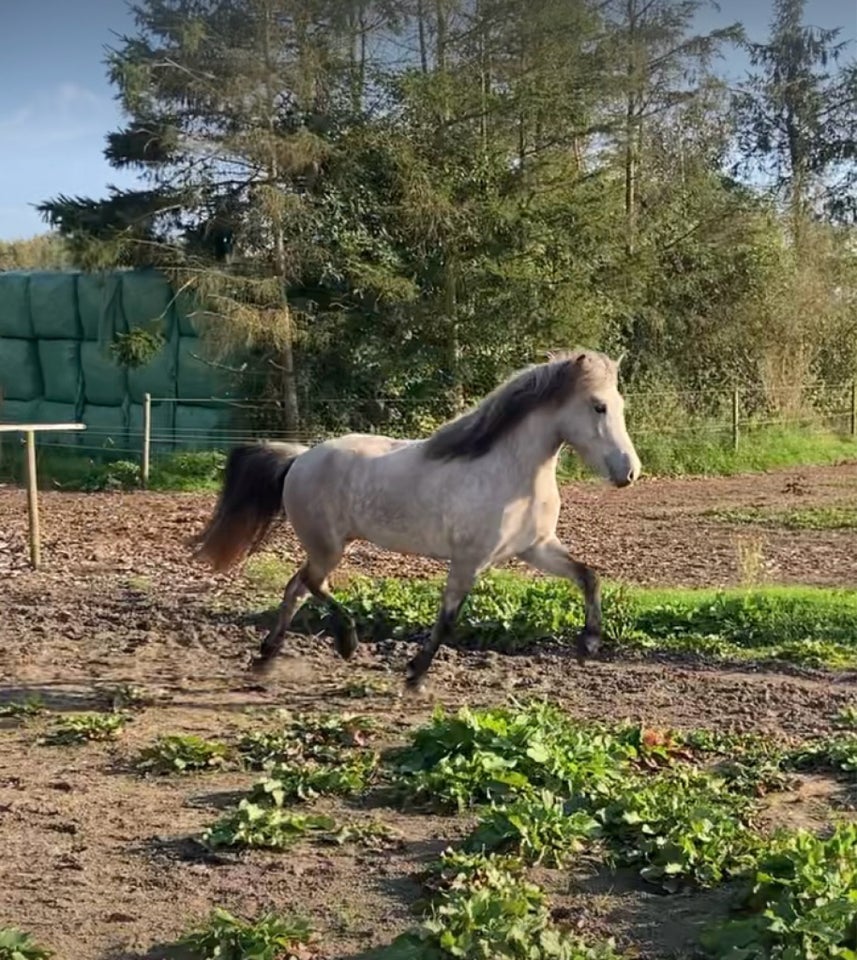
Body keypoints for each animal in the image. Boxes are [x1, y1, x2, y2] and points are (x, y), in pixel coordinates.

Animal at [192, 348, 636, 688]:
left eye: (621, 406)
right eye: (599, 406)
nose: (630, 473)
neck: (512, 472)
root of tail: (301, 458)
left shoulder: (536, 548)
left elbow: (589, 576)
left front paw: (589, 643)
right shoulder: (469, 561)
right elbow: (448, 620)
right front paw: (415, 676)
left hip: (328, 546)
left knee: (295, 589)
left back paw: (266, 658)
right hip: (328, 546)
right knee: (312, 584)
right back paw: (347, 643)